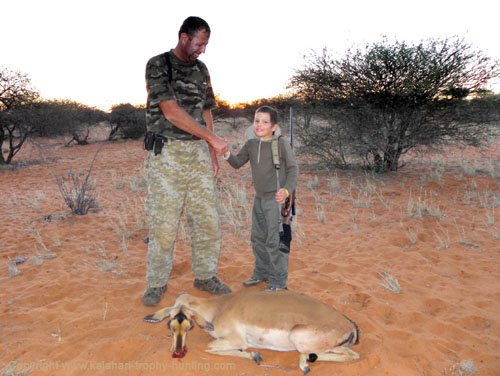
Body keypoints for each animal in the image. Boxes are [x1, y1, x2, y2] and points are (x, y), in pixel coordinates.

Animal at [145, 288, 360, 374]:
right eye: (170, 325)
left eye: (187, 324)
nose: (177, 352)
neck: (219, 307)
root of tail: (349, 325)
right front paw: (255, 356)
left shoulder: (237, 341)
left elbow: (210, 347)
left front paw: (256, 356)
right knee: (351, 355)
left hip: (298, 335)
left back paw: (305, 365)